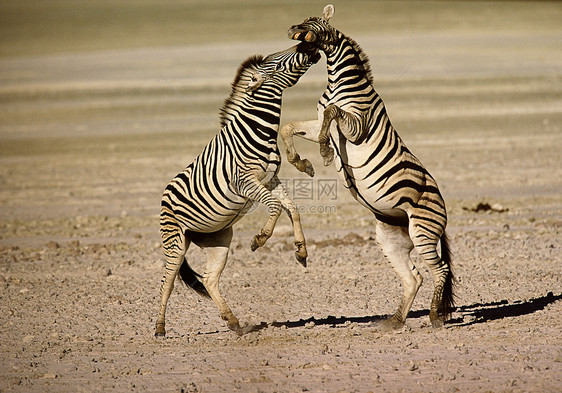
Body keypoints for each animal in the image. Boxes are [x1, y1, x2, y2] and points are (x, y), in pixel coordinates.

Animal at [154, 43, 320, 336]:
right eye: (278, 63)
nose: (308, 46)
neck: (258, 131)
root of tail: (164, 194)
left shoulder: (270, 179)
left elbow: (292, 208)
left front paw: (301, 251)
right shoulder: (245, 182)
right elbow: (276, 207)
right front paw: (260, 238)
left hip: (217, 239)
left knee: (209, 279)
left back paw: (234, 322)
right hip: (175, 240)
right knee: (168, 281)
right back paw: (160, 328)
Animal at [278, 5, 452, 328]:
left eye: (314, 22)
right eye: (303, 19)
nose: (292, 28)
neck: (338, 83)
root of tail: (442, 210)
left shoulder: (358, 125)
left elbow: (333, 112)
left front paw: (324, 152)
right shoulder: (316, 123)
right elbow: (290, 126)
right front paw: (300, 163)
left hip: (423, 230)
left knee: (440, 270)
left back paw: (435, 316)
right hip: (391, 237)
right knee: (414, 277)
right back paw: (394, 321)